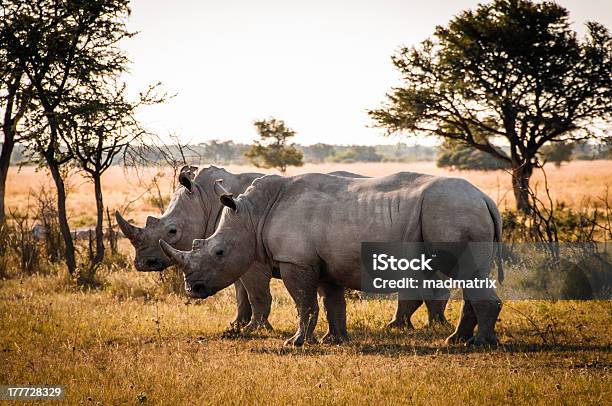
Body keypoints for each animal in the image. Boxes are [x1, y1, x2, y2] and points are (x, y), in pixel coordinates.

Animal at [116, 167, 450, 332]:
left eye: (172, 232)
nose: (142, 264)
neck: (207, 201)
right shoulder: (236, 252)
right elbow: (240, 291)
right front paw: (236, 326)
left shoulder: (249, 255)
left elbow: (255, 293)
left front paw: (255, 329)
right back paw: (420, 326)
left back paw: (420, 328)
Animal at [160, 171, 504, 346]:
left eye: (219, 252)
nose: (193, 290)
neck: (254, 215)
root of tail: (486, 198)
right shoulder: (325, 264)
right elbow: (331, 303)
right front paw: (334, 340)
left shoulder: (296, 261)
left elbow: (304, 303)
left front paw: (296, 343)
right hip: (459, 210)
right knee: (470, 277)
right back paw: (457, 341)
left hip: (453, 211)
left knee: (465, 273)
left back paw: (478, 344)